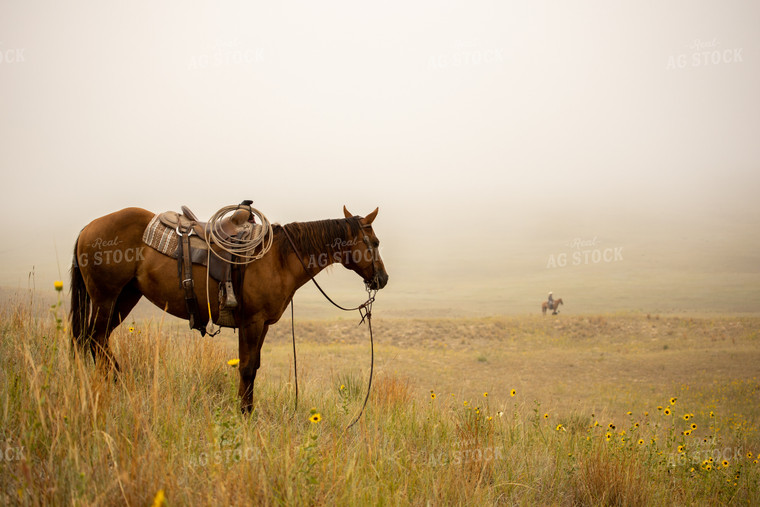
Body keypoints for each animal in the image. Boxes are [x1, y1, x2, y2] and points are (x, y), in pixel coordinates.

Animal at [69, 205, 388, 412]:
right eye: (374, 242)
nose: (382, 279)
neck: (278, 259)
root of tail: (87, 228)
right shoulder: (252, 322)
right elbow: (246, 368)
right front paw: (244, 414)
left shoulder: (262, 324)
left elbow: (253, 365)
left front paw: (246, 408)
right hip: (106, 297)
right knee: (95, 339)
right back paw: (116, 383)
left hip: (125, 297)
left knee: (94, 340)